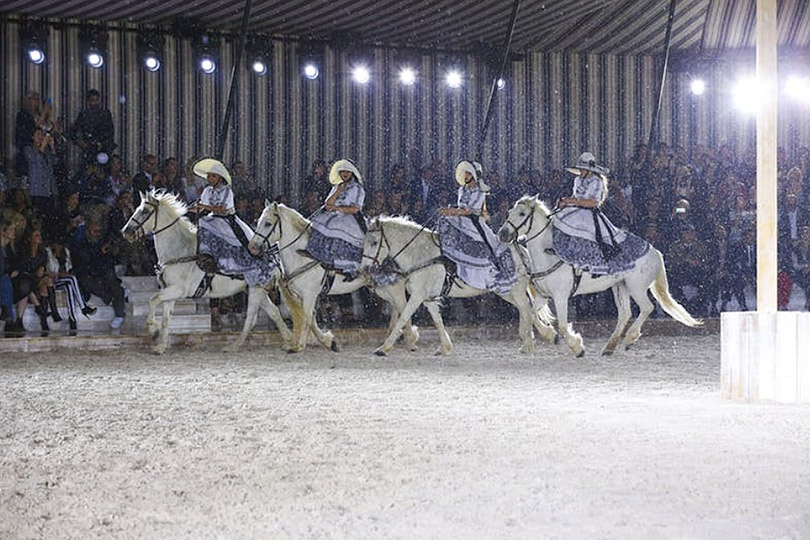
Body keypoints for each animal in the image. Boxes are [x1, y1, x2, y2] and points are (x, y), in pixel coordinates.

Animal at [120, 190, 294, 354]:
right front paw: (160, 346)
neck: (179, 251)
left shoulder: (178, 290)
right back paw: (288, 341)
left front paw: (152, 328)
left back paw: (235, 346)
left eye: (144, 211)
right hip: (257, 290)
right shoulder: (170, 292)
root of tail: (273, 257)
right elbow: (165, 317)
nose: (126, 232)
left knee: (253, 318)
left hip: (256, 290)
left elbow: (152, 300)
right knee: (273, 312)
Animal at [249, 204, 416, 354]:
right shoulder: (303, 296)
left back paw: (409, 341)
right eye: (258, 221)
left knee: (404, 306)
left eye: (268, 223)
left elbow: (307, 319)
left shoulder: (310, 294)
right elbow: (311, 321)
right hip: (380, 288)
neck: (302, 254)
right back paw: (394, 338)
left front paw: (299, 347)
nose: (252, 247)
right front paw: (330, 343)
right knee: (397, 307)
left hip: (393, 287)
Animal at [360, 215, 556, 358]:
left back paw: (529, 343)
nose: (365, 269)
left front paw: (384, 348)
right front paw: (445, 347)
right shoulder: (428, 298)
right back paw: (544, 335)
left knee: (526, 308)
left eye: (374, 242)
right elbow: (437, 320)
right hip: (506, 292)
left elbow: (403, 318)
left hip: (514, 290)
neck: (420, 254)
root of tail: (519, 249)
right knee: (527, 308)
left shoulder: (417, 295)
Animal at [496, 196, 696, 356]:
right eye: (510, 212)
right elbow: (529, 314)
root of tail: (654, 251)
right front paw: (549, 336)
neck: (548, 253)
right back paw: (609, 347)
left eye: (522, 213)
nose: (502, 234)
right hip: (620, 286)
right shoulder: (544, 296)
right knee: (625, 314)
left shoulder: (560, 297)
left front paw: (577, 348)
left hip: (636, 288)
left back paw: (629, 339)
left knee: (647, 308)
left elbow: (562, 325)